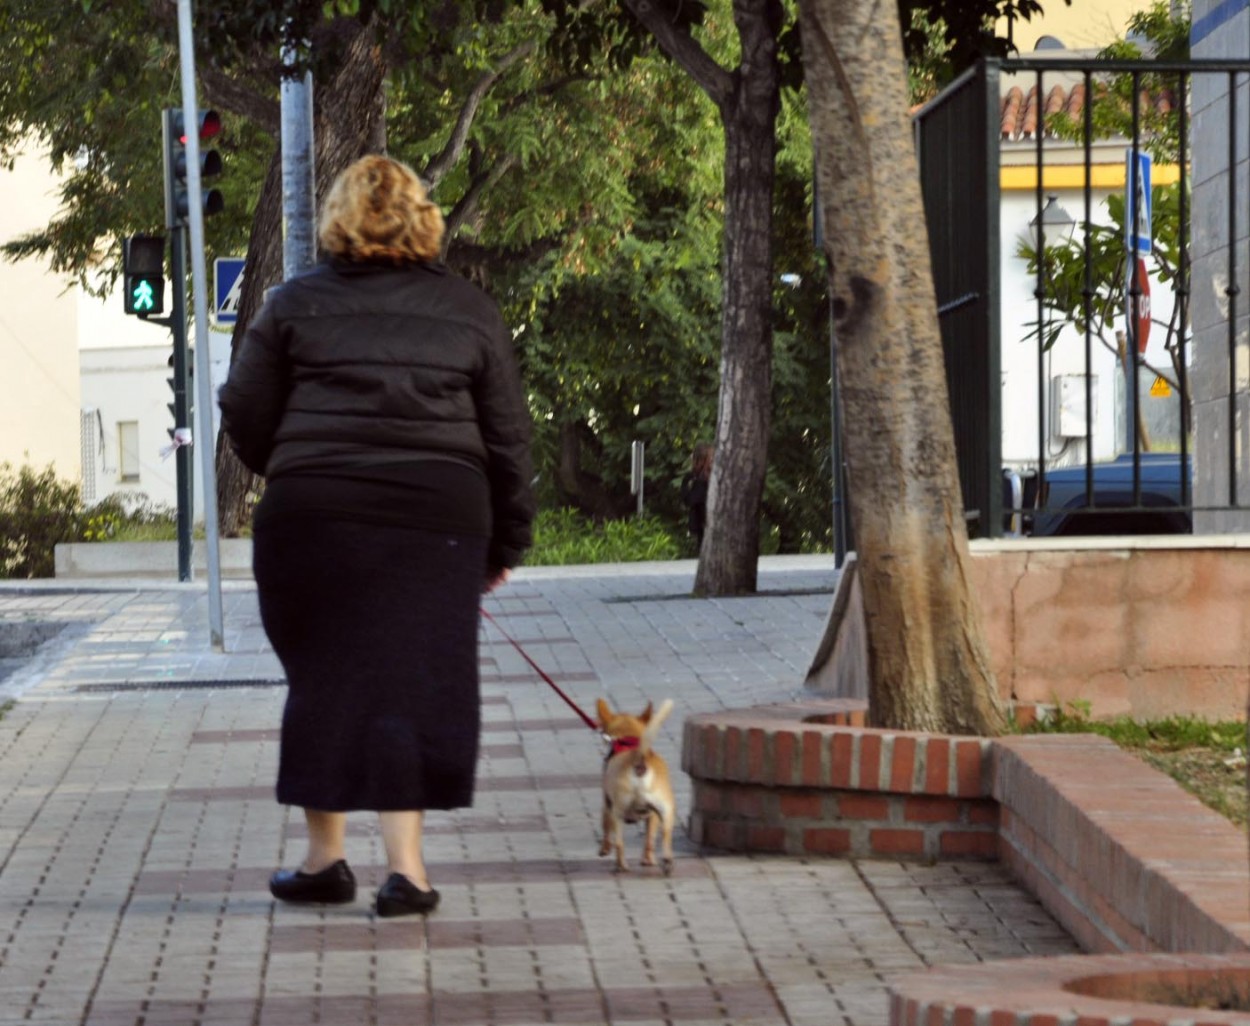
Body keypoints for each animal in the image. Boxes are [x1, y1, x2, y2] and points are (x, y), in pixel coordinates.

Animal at [595, 694, 675, 874]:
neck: (628, 741)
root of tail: (640, 758)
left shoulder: (606, 804)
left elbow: (605, 827)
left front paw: (604, 849)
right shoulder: (652, 815)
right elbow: (649, 838)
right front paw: (648, 860)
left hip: (617, 812)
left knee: (619, 843)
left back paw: (621, 865)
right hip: (666, 810)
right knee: (662, 837)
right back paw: (664, 861)